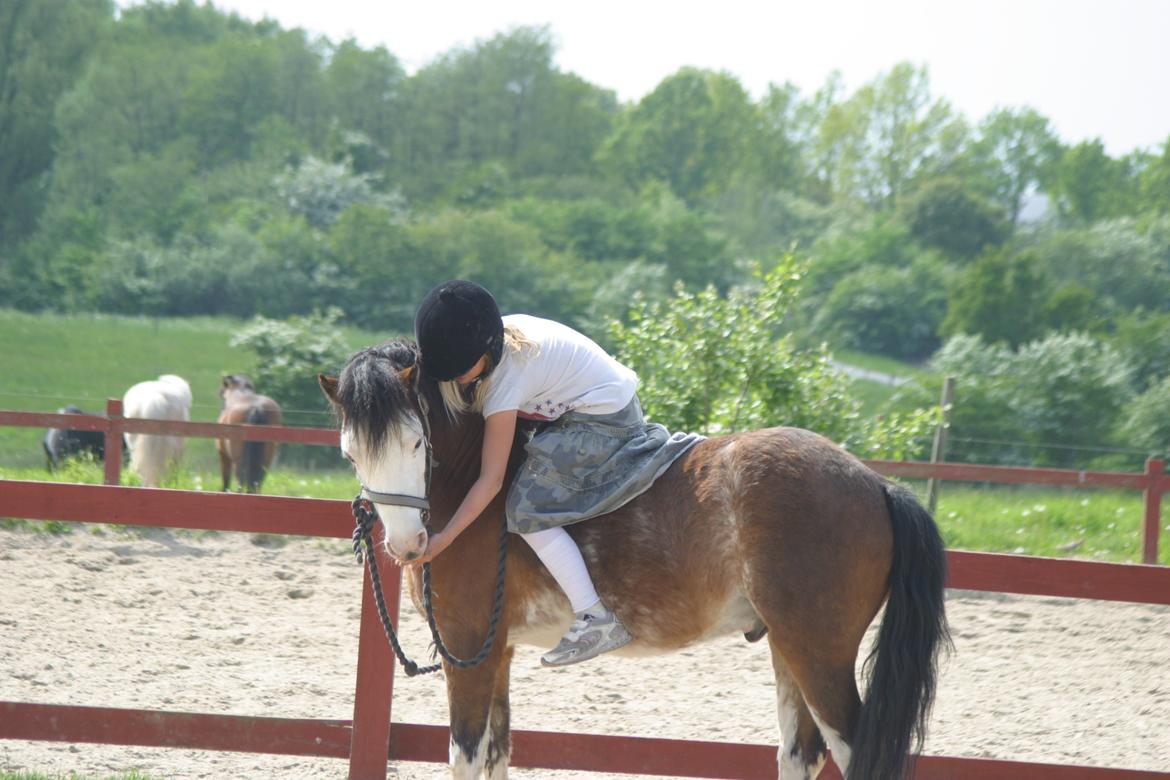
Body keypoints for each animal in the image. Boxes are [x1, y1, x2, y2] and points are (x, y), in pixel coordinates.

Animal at [319, 340, 950, 780]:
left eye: (415, 442)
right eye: (350, 452)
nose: (408, 544)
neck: (471, 485)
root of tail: (874, 482)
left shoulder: (469, 651)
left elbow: (468, 756)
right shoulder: (496, 653)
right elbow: (498, 754)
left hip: (818, 652)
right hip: (789, 647)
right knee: (799, 754)